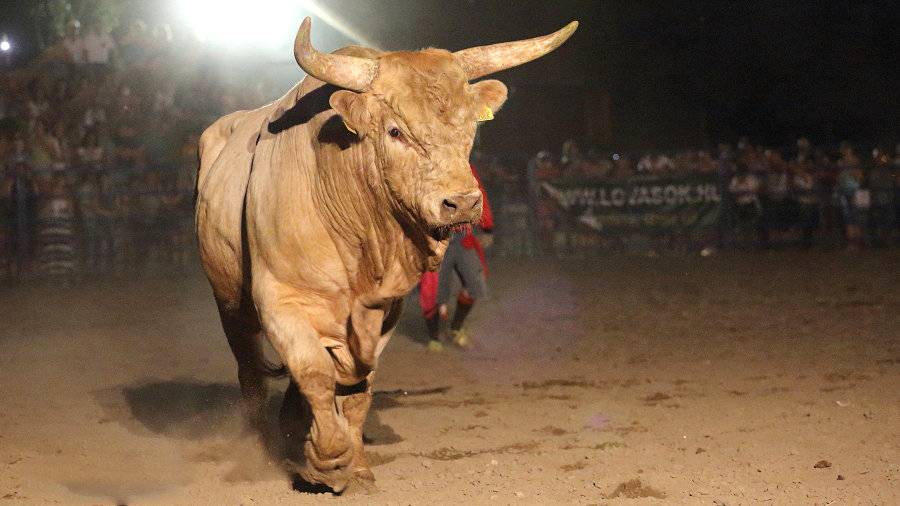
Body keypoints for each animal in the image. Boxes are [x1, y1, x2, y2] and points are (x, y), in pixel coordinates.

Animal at [195, 16, 576, 490]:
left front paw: (354, 463)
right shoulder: (281, 300)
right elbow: (314, 372)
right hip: (230, 302)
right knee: (250, 369)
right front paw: (327, 458)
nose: (462, 203)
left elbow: (359, 386)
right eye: (396, 131)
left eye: (470, 129)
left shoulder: (385, 308)